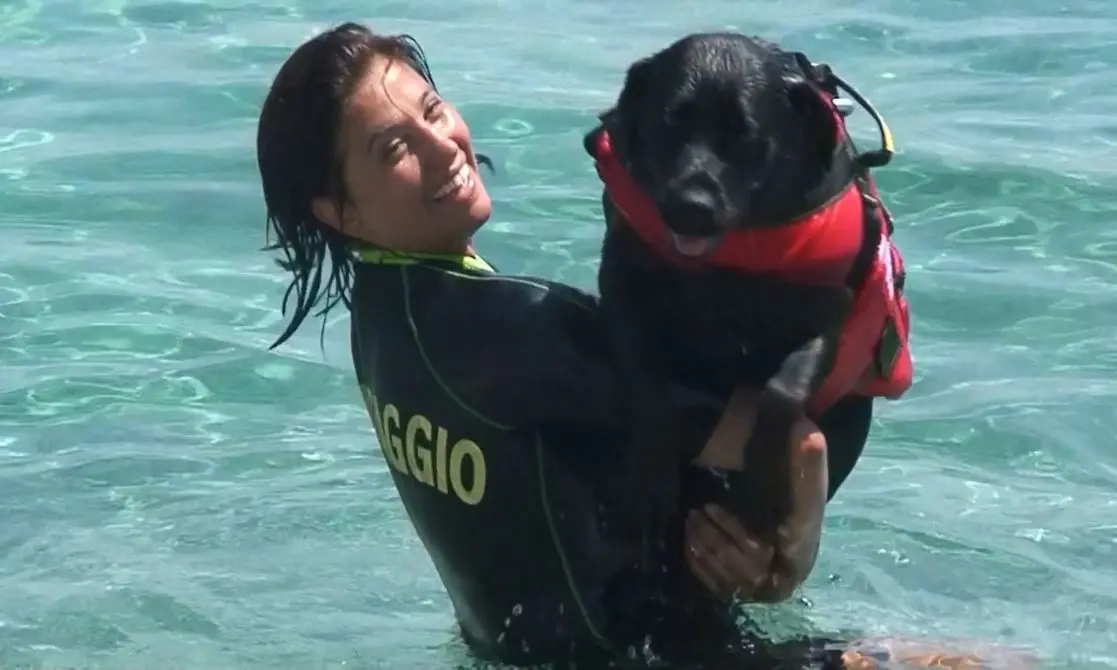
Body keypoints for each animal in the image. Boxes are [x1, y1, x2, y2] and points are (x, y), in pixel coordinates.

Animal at [585, 31, 889, 553]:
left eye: (744, 134)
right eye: (671, 121)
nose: (691, 208)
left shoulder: (827, 316)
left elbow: (782, 392)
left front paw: (762, 489)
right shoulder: (621, 282)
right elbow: (645, 383)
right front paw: (649, 483)